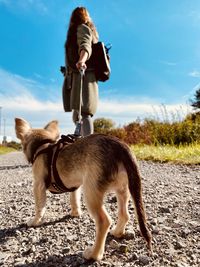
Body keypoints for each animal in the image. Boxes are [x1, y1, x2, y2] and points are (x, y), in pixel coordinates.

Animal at [14, 119, 152, 262]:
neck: (43, 145)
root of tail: (120, 146)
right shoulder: (75, 186)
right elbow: (74, 199)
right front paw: (75, 213)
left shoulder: (38, 185)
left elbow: (39, 207)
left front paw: (35, 222)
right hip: (122, 189)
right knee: (125, 214)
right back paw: (117, 232)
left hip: (91, 192)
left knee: (104, 221)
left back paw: (93, 254)